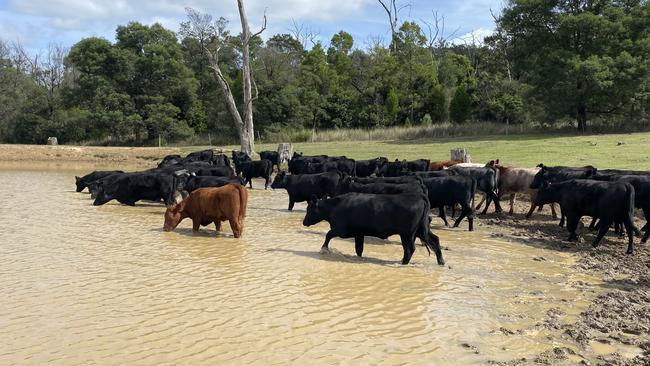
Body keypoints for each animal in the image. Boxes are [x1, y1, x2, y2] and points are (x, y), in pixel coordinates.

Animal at [302, 192, 442, 266]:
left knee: (409, 249)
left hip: (407, 234)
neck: (335, 207)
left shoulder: (341, 230)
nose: (304, 222)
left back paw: (403, 263)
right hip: (421, 231)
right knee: (435, 240)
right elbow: (359, 249)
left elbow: (328, 235)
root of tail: (418, 196)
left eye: (309, 209)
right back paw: (441, 261)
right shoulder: (359, 233)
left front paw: (324, 249)